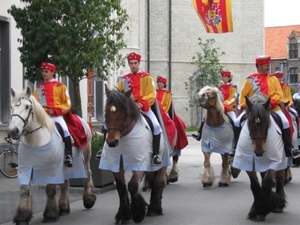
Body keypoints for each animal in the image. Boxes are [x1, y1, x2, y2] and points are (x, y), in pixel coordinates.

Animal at [7, 86, 96, 225]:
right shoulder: (26, 168)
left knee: (87, 176)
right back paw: (64, 207)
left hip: (86, 157)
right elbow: (24, 190)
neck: (36, 141)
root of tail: (82, 120)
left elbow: (50, 189)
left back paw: (88, 200)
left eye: (27, 106)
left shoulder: (51, 167)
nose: (13, 131)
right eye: (12, 107)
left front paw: (50, 215)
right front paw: (22, 217)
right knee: (65, 183)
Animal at [98, 85, 169, 224]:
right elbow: (121, 188)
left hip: (161, 163)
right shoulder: (116, 164)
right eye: (107, 111)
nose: (112, 142)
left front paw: (137, 212)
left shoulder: (140, 163)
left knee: (159, 182)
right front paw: (123, 215)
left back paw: (155, 208)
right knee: (152, 180)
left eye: (123, 112)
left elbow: (132, 185)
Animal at [232, 93, 286, 221]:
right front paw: (256, 211)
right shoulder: (248, 164)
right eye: (250, 122)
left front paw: (262, 209)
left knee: (280, 178)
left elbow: (267, 182)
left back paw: (279, 205)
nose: (259, 151)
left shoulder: (274, 162)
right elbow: (255, 186)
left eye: (267, 123)